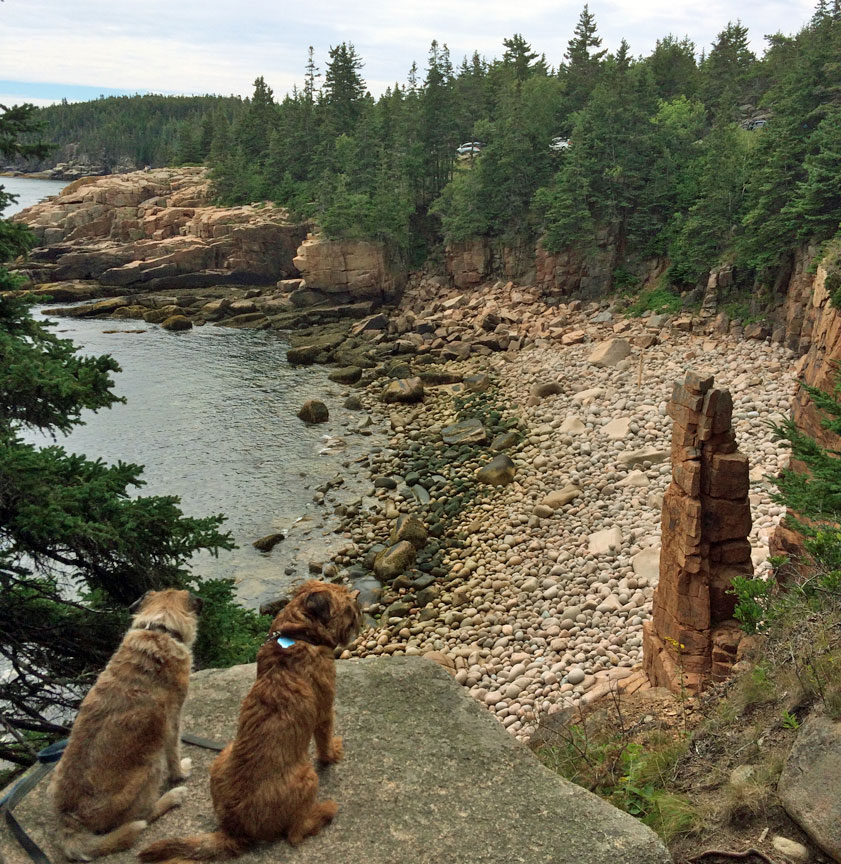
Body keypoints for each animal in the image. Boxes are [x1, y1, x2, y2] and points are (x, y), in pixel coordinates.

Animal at [49, 589, 202, 861]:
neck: (159, 631)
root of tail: (70, 818)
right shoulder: (172, 721)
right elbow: (174, 754)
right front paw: (181, 774)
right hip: (151, 764)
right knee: (144, 816)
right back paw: (172, 797)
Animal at [139, 580, 361, 862]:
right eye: (347, 607)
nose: (359, 612)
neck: (298, 634)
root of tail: (235, 830)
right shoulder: (324, 712)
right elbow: (324, 743)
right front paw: (332, 753)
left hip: (223, 755)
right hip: (308, 777)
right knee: (296, 832)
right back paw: (325, 810)